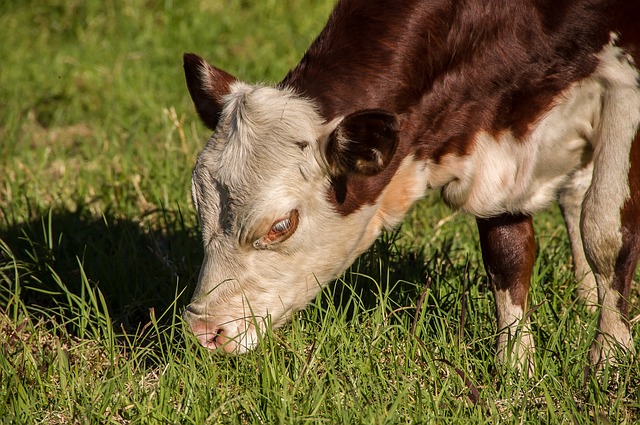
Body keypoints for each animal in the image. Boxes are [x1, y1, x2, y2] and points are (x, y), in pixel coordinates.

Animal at [181, 0, 640, 372]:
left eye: (281, 225)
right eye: (199, 208)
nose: (204, 331)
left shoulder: (623, 81)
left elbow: (605, 232)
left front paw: (610, 358)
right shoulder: (496, 147)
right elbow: (508, 253)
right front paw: (514, 367)